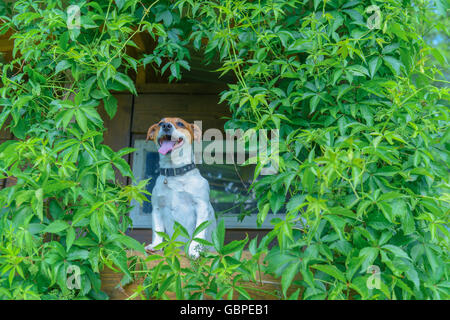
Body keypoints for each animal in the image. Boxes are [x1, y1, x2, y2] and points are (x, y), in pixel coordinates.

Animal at [143, 116, 215, 258]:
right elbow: (157, 230)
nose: (166, 126)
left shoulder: (201, 206)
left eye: (180, 123)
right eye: (160, 123)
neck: (174, 173)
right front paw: (156, 245)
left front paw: (194, 249)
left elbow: (198, 232)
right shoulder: (157, 208)